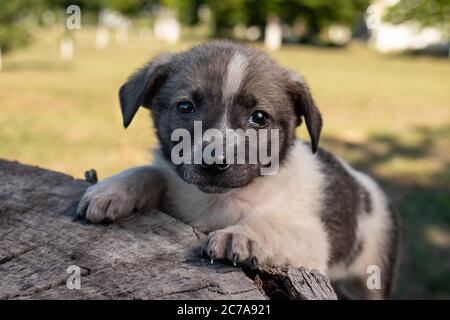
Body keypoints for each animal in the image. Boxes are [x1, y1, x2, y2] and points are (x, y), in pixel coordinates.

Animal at [75, 41, 400, 298]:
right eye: (185, 107)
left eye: (259, 118)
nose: (214, 161)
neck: (219, 200)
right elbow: (153, 172)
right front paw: (112, 190)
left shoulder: (313, 239)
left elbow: (272, 224)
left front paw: (243, 234)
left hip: (373, 274)